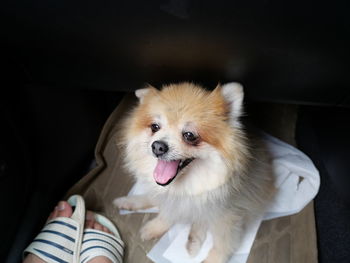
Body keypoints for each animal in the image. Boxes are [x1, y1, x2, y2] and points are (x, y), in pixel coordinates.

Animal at [113, 83, 274, 263]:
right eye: (155, 127)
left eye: (189, 135)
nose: (158, 146)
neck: (187, 187)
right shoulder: (173, 201)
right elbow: (166, 214)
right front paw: (156, 227)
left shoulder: (226, 217)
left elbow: (223, 244)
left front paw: (213, 259)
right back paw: (127, 201)